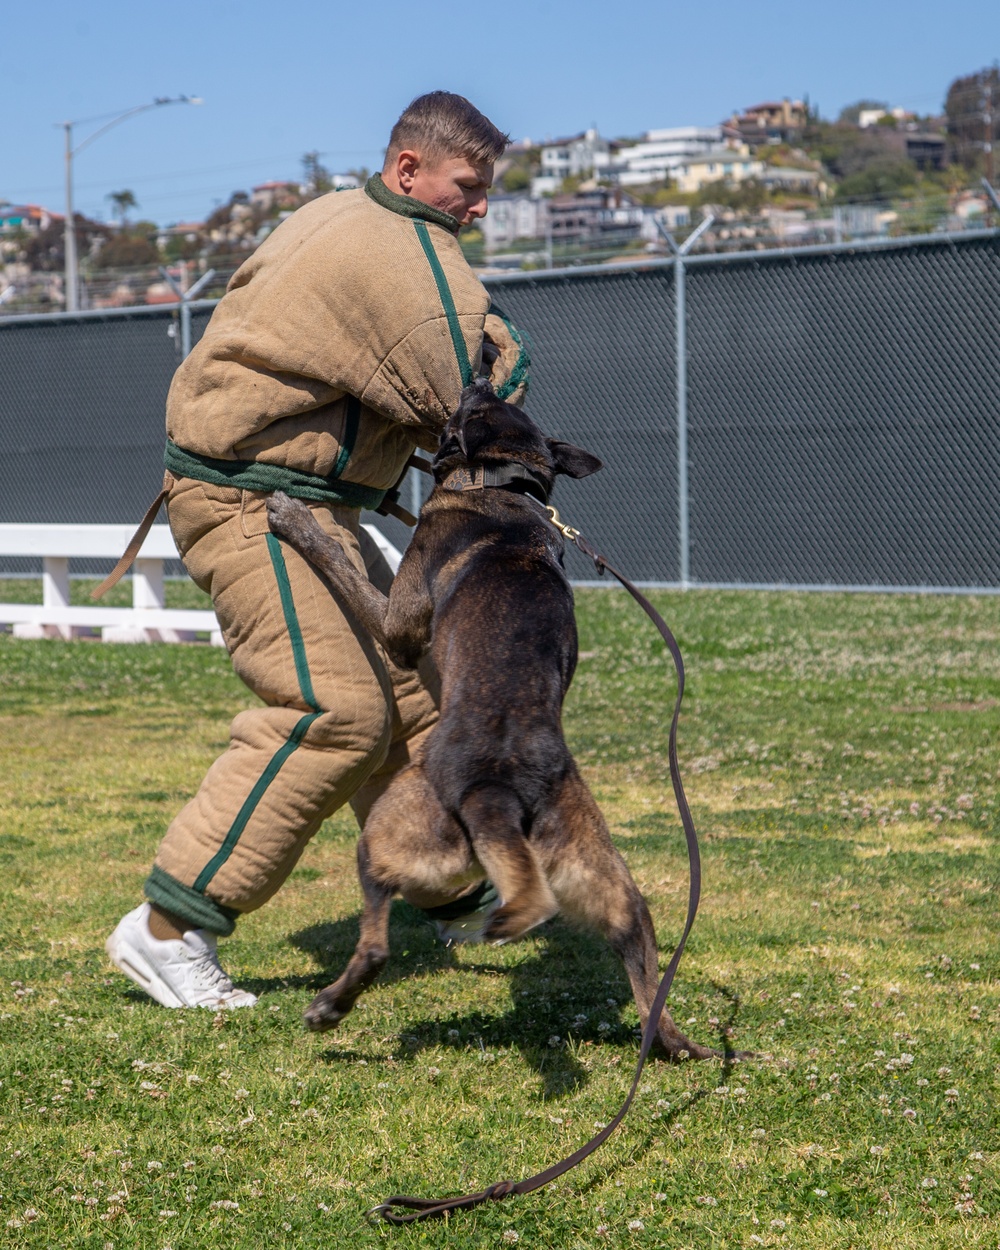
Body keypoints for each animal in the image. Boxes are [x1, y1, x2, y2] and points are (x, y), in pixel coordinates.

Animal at [265, 377, 715, 1055]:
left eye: (471, 406)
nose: (476, 377)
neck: (502, 485)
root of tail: (500, 792)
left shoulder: (398, 625)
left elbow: (347, 569)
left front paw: (295, 518)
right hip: (613, 890)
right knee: (648, 986)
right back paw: (674, 1043)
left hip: (383, 838)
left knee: (376, 943)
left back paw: (330, 1006)